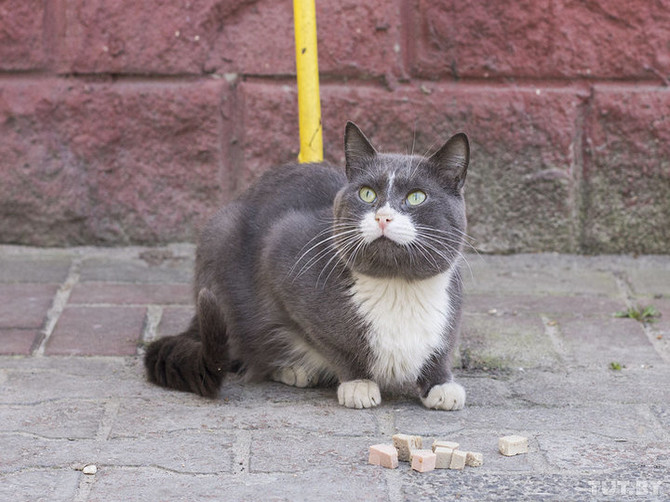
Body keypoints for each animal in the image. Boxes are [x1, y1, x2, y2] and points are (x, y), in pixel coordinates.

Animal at [144, 122, 470, 412]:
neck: (397, 286)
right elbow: (332, 343)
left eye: (417, 197)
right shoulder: (281, 249)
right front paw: (357, 383)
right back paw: (293, 369)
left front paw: (441, 384)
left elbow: (443, 345)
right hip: (220, 238)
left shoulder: (452, 306)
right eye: (367, 193)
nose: (383, 217)